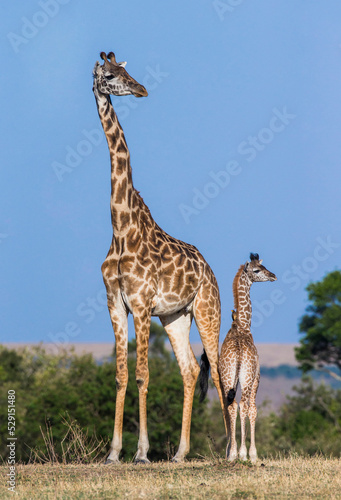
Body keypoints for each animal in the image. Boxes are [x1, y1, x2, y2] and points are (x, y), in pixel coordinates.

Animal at [92, 52, 226, 462]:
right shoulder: (116, 305)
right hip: (175, 317)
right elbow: (121, 375)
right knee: (189, 370)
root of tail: (210, 270)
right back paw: (181, 453)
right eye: (108, 75)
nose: (141, 89)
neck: (121, 228)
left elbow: (142, 375)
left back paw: (231, 449)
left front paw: (140, 452)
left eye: (125, 70)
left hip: (206, 310)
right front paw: (113, 453)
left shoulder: (141, 304)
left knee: (217, 371)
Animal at [218, 254, 276, 464]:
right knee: (244, 405)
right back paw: (243, 453)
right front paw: (252, 454)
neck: (242, 325)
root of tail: (238, 354)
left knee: (231, 405)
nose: (273, 275)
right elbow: (253, 409)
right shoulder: (256, 376)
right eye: (257, 270)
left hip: (227, 377)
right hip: (247, 376)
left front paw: (233, 453)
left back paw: (232, 455)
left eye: (264, 266)